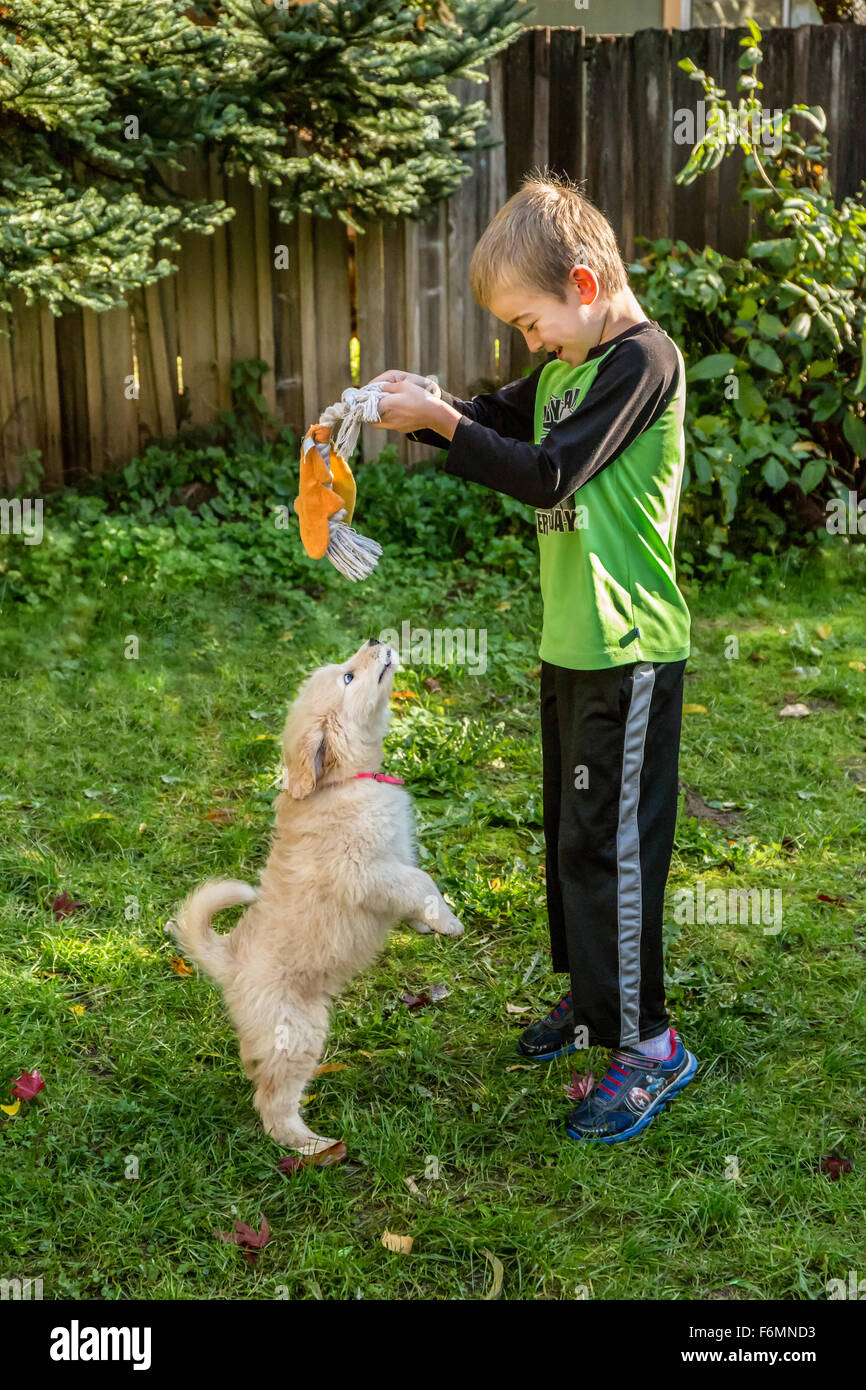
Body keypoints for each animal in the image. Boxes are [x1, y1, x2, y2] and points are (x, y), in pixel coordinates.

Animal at [170, 636, 467, 1150]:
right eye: (348, 677)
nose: (374, 640)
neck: (344, 781)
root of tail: (229, 960)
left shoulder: (394, 861)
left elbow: (414, 886)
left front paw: (424, 924)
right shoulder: (367, 871)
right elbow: (420, 881)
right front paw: (448, 922)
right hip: (297, 1033)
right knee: (272, 1103)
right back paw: (314, 1146)